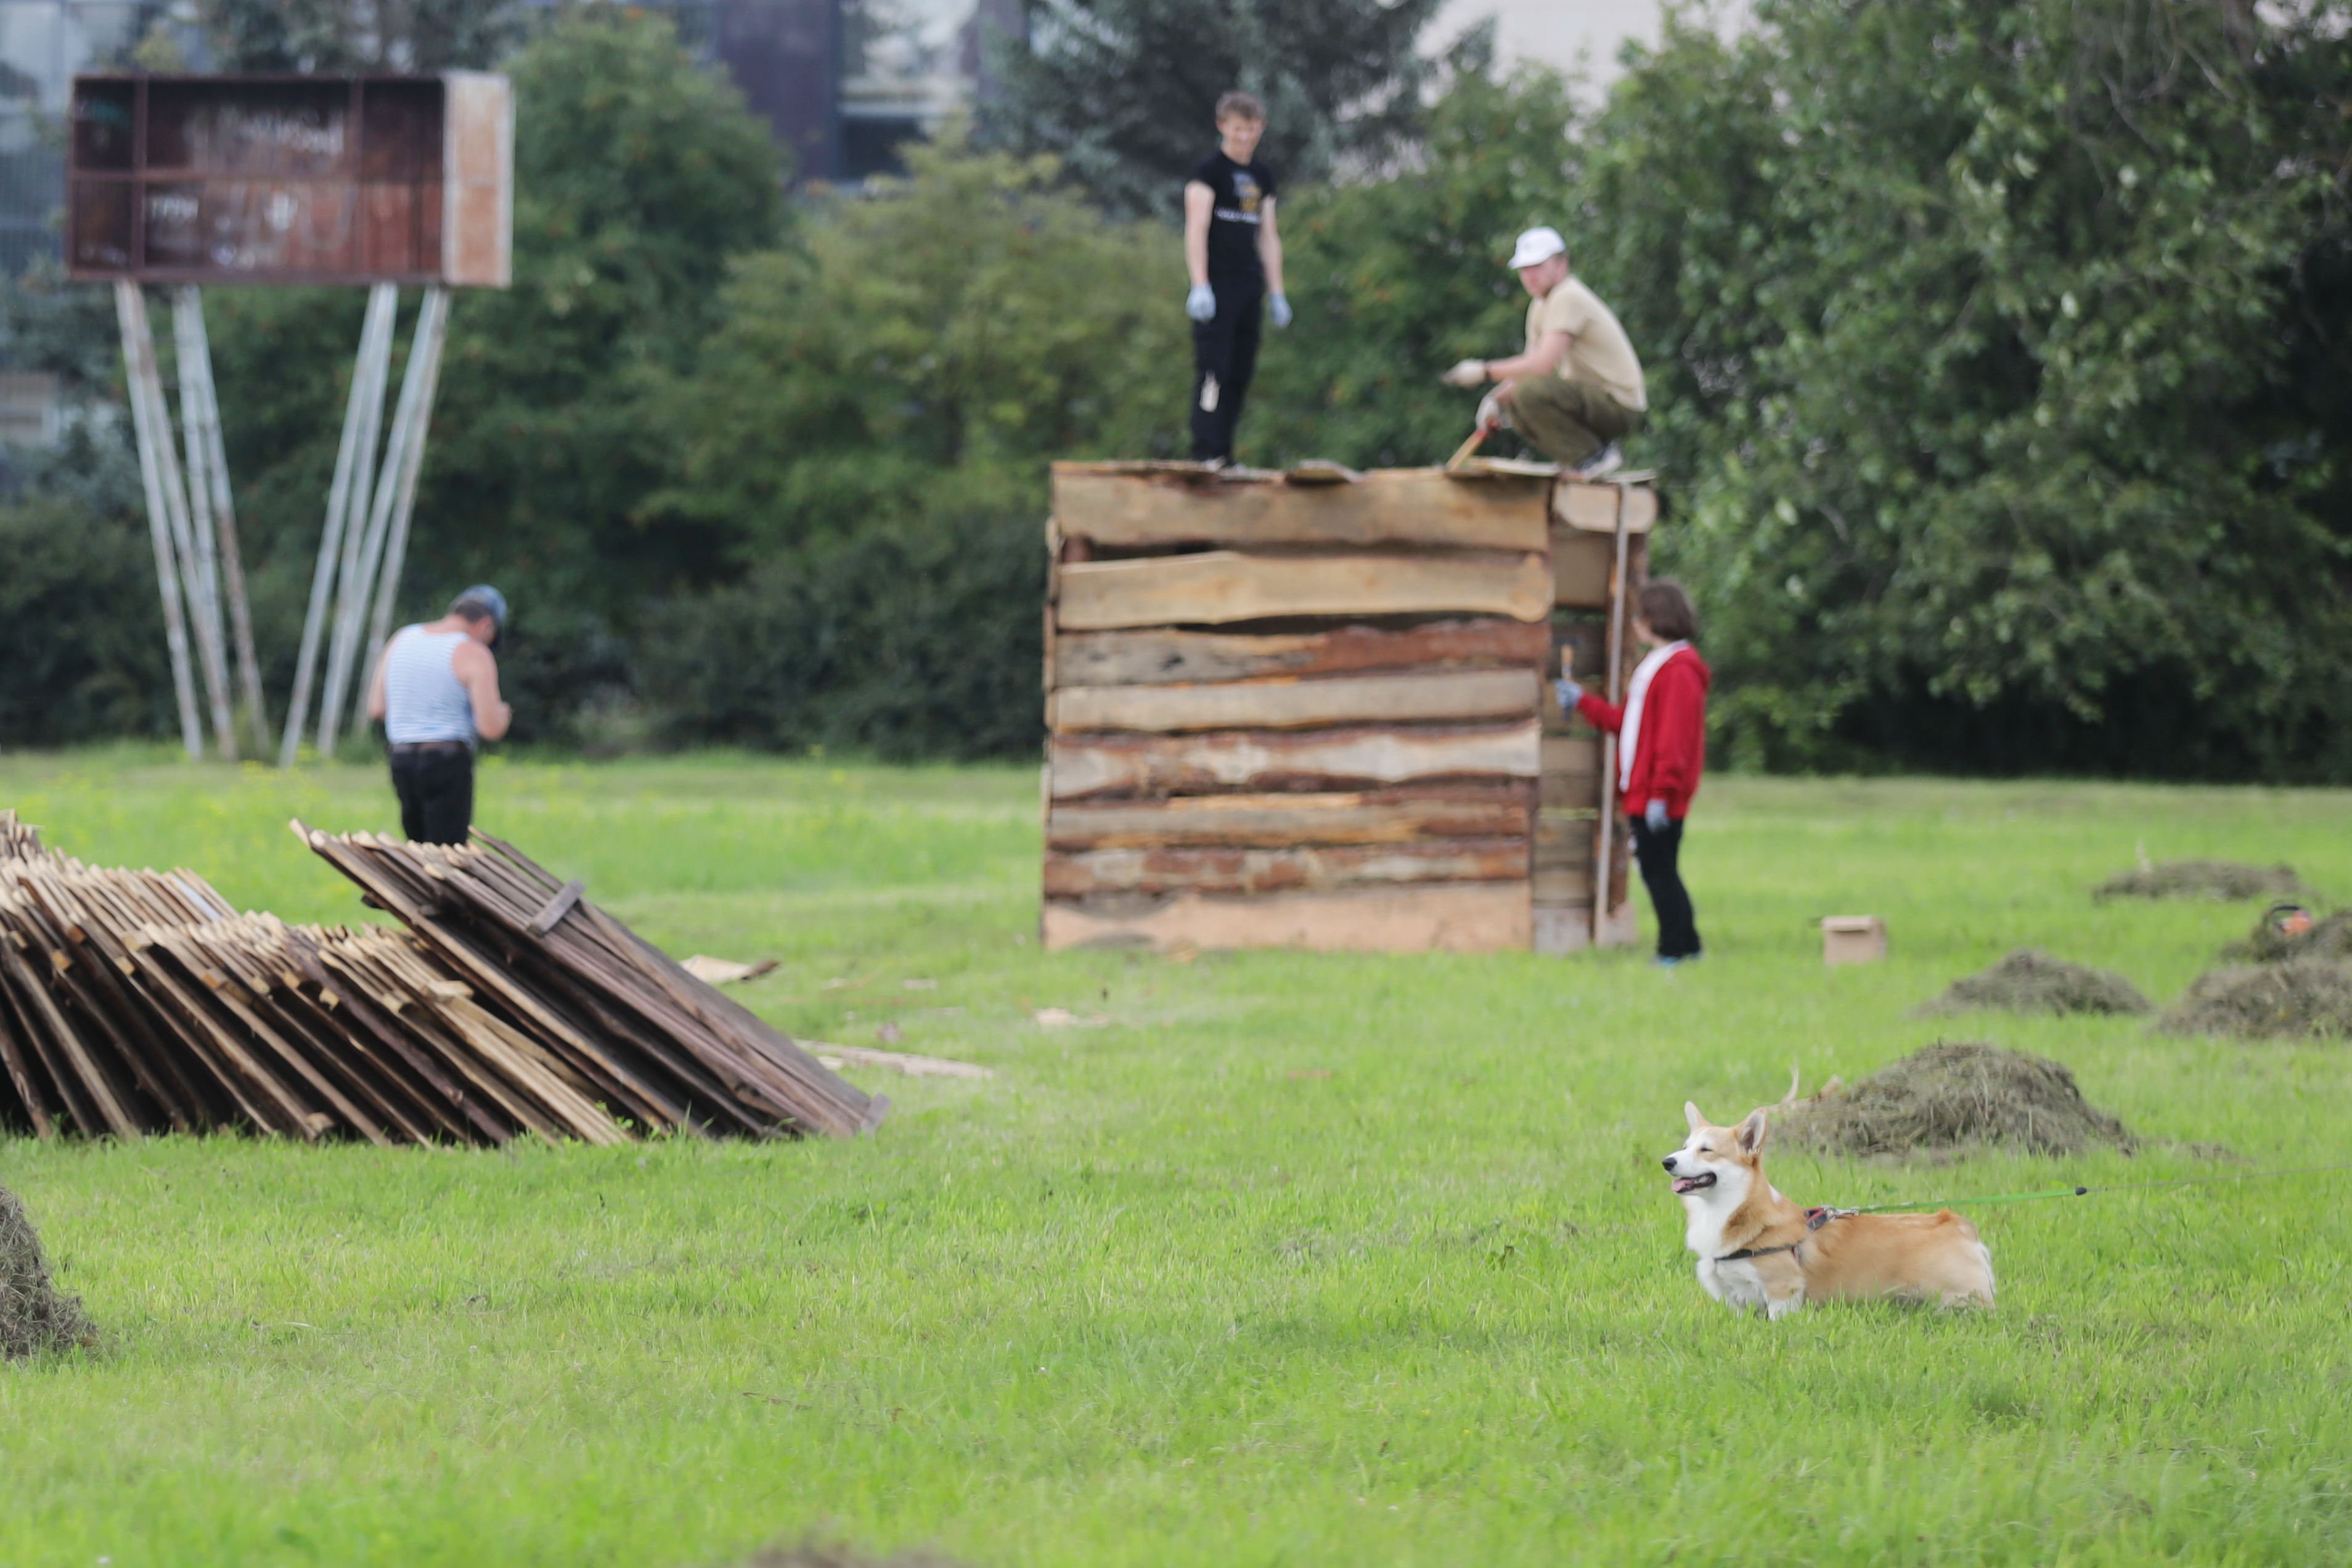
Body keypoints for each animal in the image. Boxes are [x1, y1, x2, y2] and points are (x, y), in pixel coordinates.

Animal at [1665, 1105, 1994, 1326]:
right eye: (1684, 1147)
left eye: (1707, 1150)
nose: (1667, 1161)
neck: (1725, 1211)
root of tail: (1958, 1225)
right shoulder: (1734, 1297)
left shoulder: (1784, 1290)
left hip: (1959, 1298)